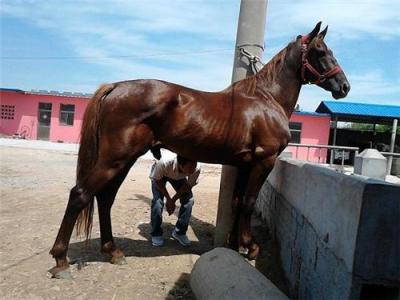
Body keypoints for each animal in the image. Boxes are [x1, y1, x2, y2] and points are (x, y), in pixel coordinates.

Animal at [49, 23, 350, 278]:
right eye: (321, 51)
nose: (344, 87)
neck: (266, 98)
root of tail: (115, 87)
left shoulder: (244, 164)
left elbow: (237, 202)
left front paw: (234, 246)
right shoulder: (264, 161)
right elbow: (249, 203)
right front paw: (250, 247)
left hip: (124, 160)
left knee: (105, 198)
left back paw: (112, 251)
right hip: (115, 159)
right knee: (80, 194)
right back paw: (61, 260)